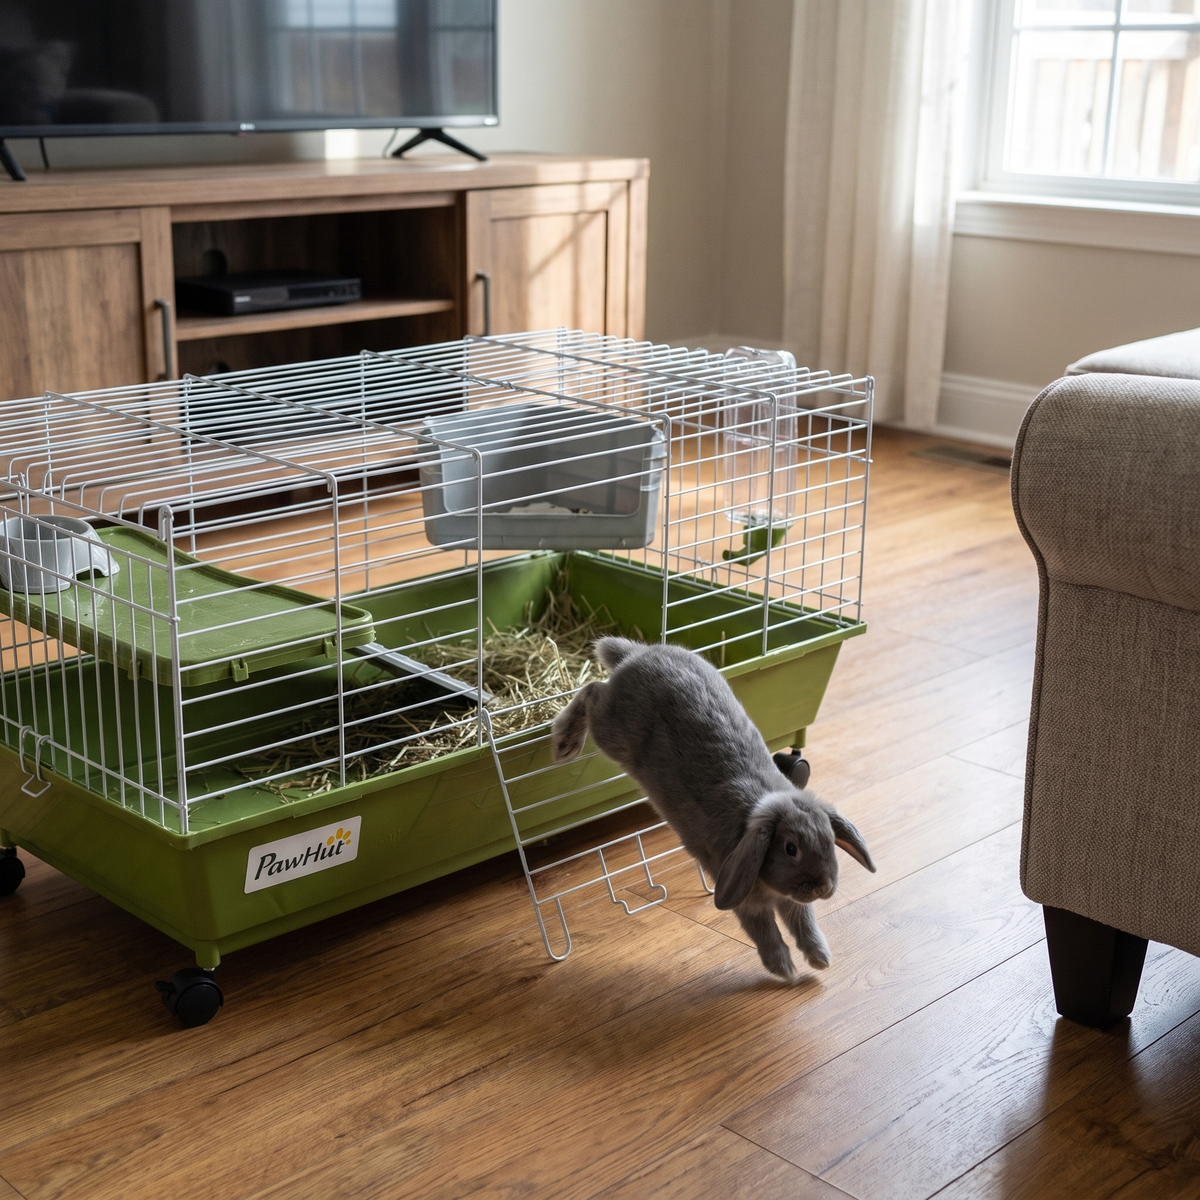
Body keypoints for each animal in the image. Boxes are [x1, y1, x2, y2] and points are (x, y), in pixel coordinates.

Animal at [551, 636, 875, 981]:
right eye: (791, 849)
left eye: (829, 841)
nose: (823, 888)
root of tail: (638, 653)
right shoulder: (747, 902)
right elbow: (765, 933)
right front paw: (785, 970)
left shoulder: (791, 903)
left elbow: (805, 925)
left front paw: (819, 959)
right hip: (612, 730)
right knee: (592, 691)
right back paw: (564, 743)